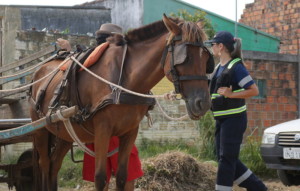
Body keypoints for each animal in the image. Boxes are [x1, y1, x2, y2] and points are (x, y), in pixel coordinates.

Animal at [27, 14, 211, 190]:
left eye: (206, 58)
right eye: (185, 57)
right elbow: (101, 179)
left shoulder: (130, 132)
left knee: (54, 165)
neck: (124, 80)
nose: (203, 103)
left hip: (64, 133)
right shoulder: (102, 130)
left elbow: (123, 177)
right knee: (44, 164)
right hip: (40, 129)